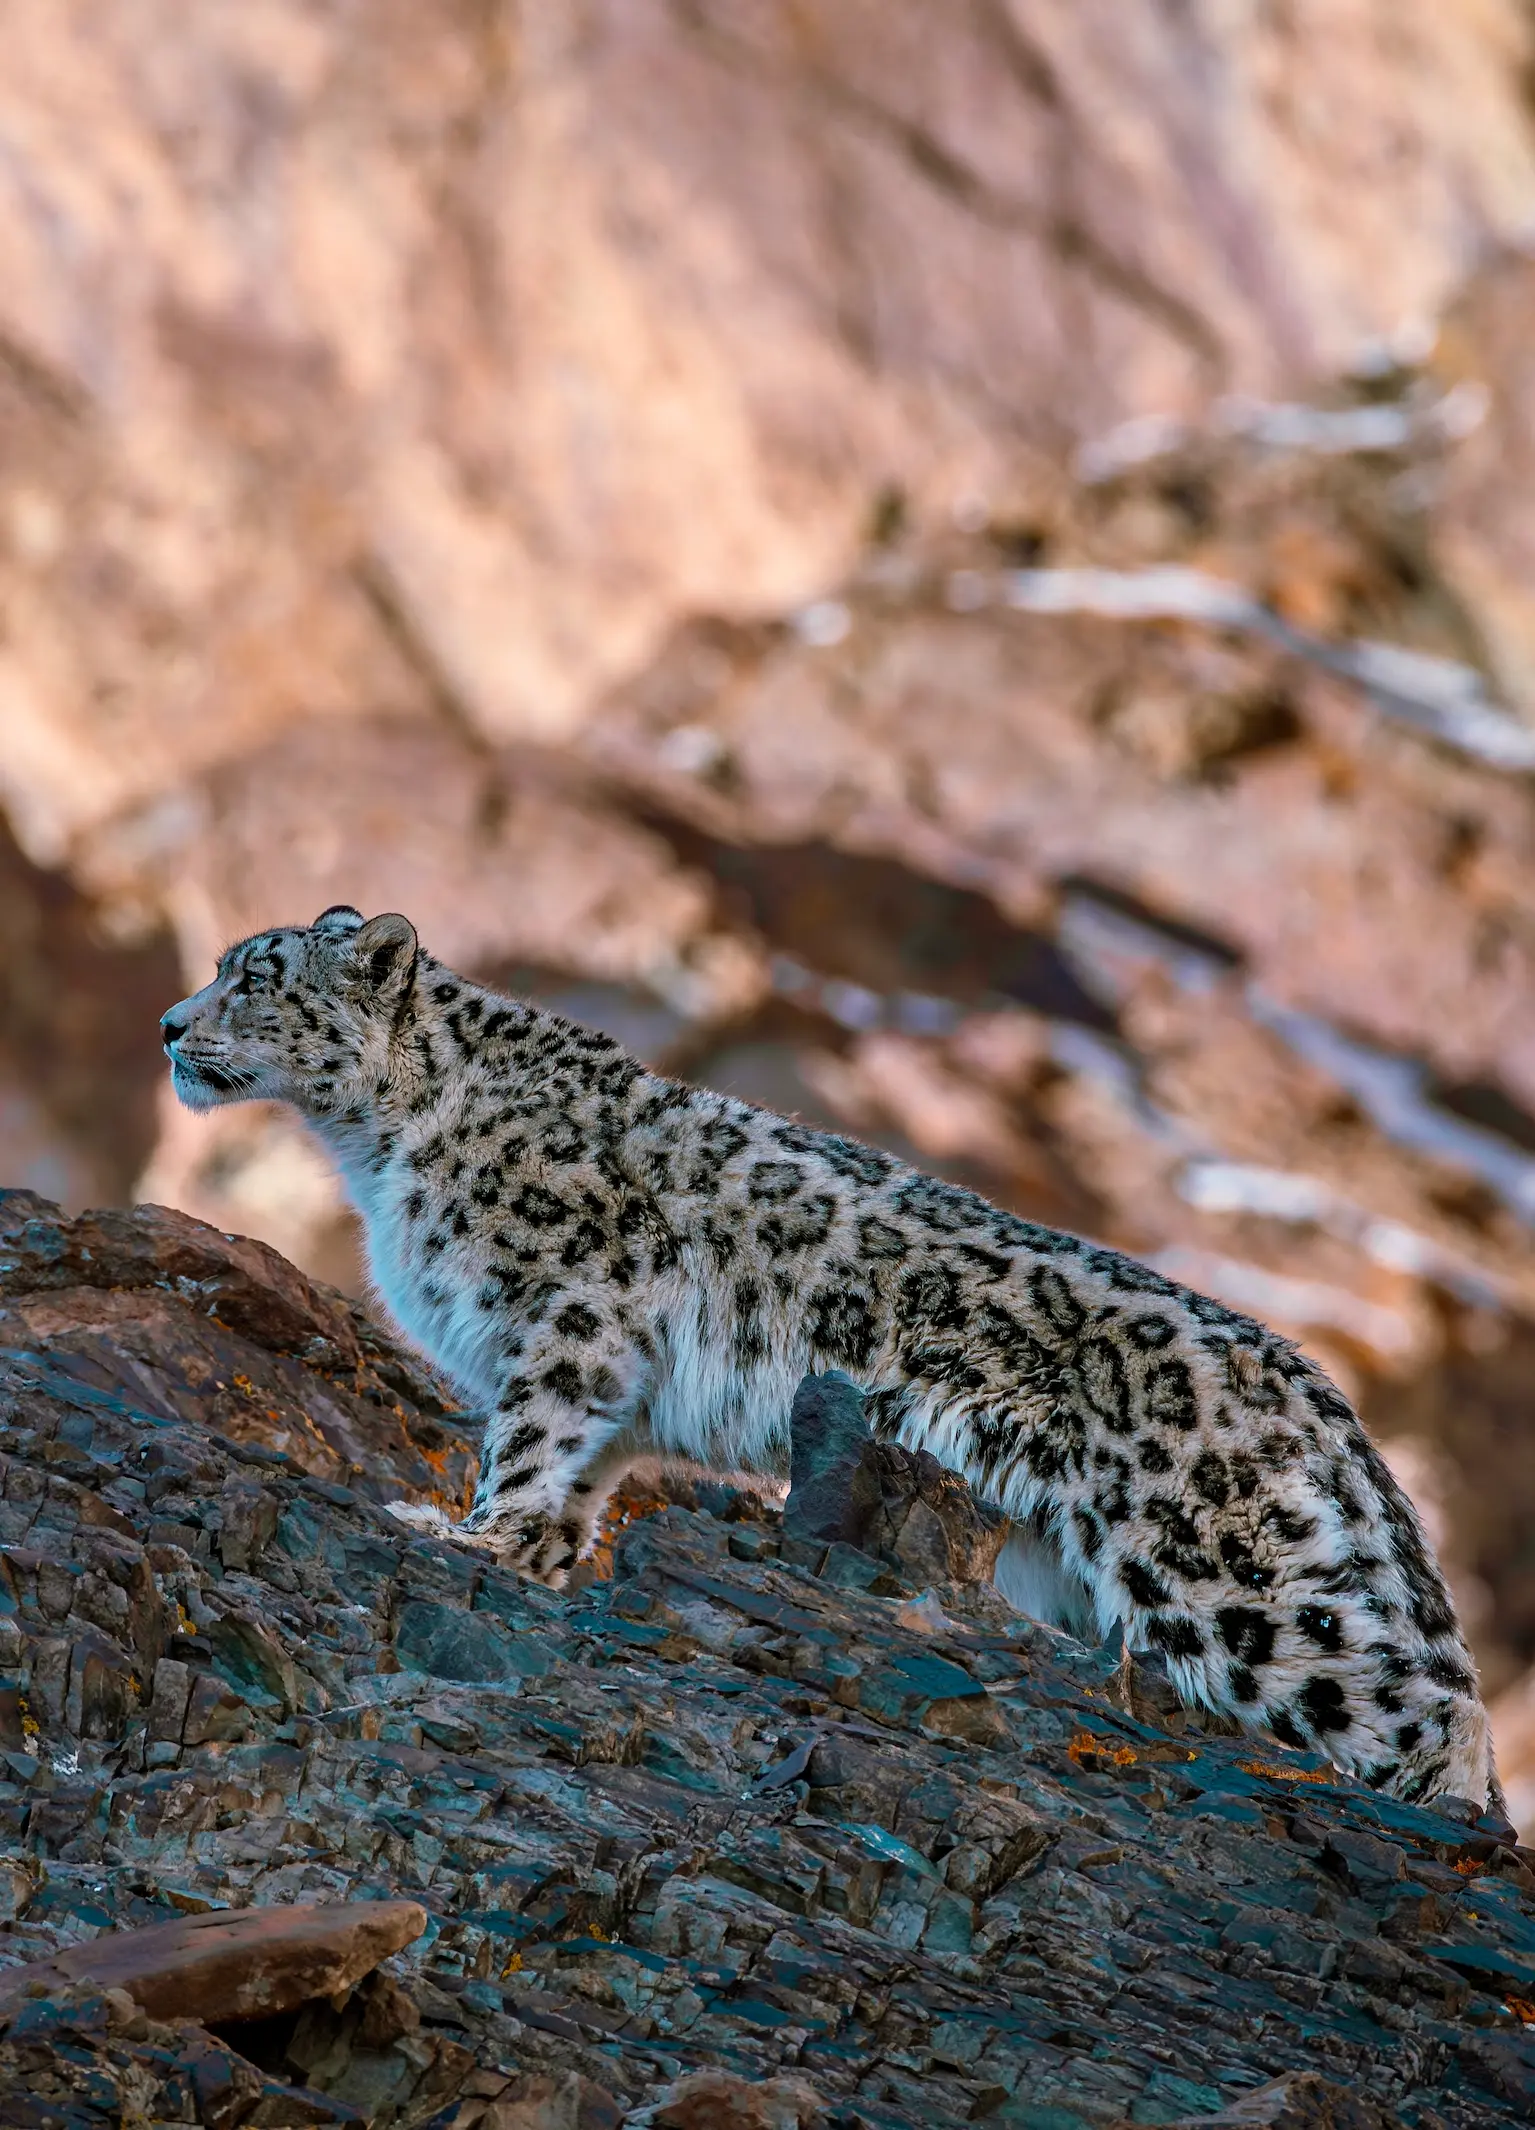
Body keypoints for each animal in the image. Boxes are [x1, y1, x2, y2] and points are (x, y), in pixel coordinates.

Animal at [160, 904, 1501, 1812]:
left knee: (1422, 1713)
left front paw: (471, 1535)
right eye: (220, 968)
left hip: (1213, 1567)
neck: (376, 1153)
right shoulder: (614, 1381)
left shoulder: (572, 1305)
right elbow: (578, 1472)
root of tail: (1307, 1381)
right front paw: (537, 1553)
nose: (171, 1023)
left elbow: (533, 1435)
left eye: (255, 977)